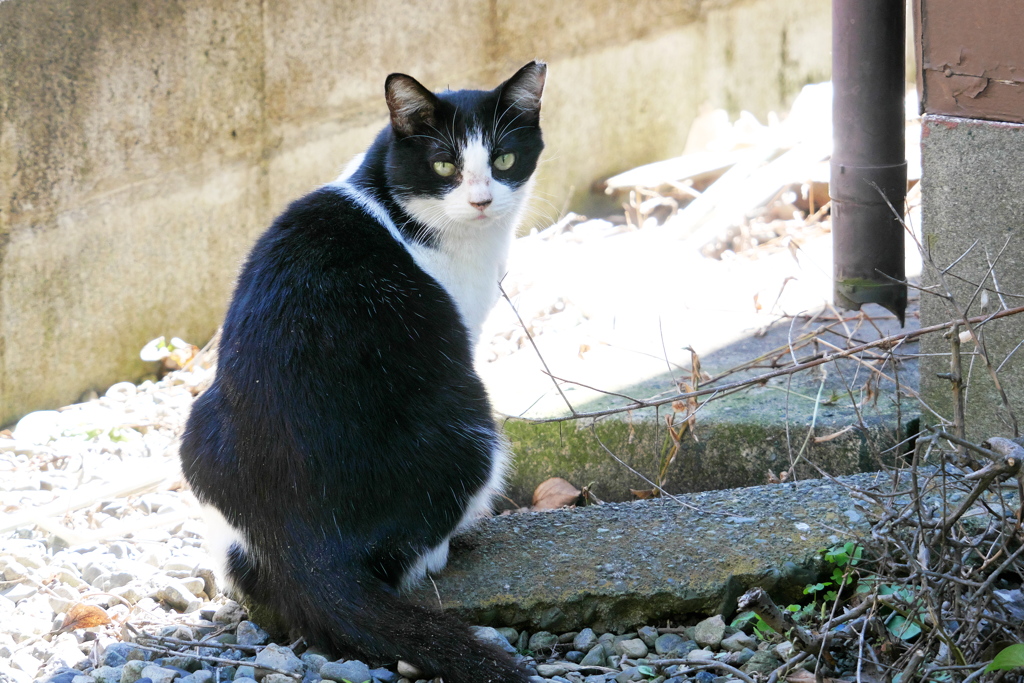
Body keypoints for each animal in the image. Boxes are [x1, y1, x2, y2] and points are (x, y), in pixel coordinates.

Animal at [178, 60, 544, 683]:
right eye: (444, 165)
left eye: (503, 160)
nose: (480, 200)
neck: (391, 199)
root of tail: (305, 545)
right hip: (470, 427)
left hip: (198, 424)